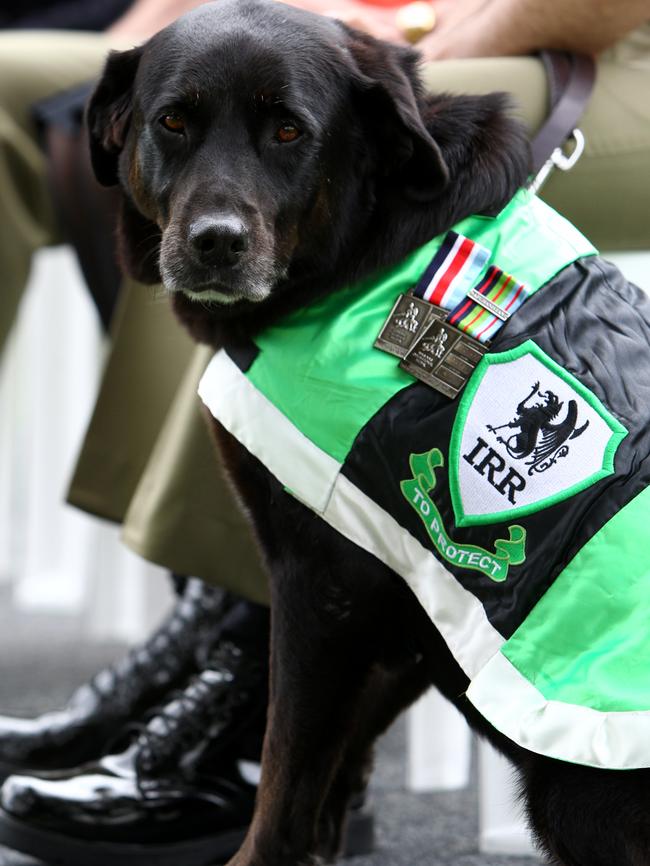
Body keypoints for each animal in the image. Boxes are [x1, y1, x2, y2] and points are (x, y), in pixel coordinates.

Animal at [86, 3, 650, 860]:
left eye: (289, 130)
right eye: (173, 122)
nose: (217, 241)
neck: (367, 244)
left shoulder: (323, 583)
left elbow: (287, 770)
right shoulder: (407, 593)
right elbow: (336, 755)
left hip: (573, 793)